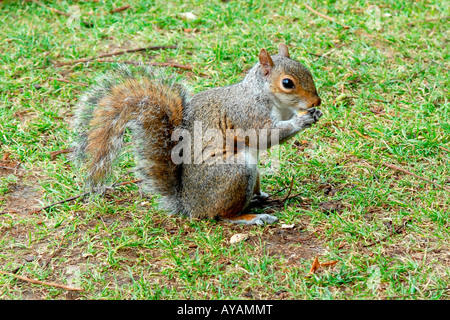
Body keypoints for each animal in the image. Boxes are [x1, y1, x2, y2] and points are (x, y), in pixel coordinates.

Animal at [72, 43, 322, 225]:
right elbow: (265, 135)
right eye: (287, 83)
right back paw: (251, 217)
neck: (268, 97)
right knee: (223, 215)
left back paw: (259, 196)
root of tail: (190, 205)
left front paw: (314, 114)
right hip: (236, 172)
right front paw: (301, 120)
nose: (316, 102)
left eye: (308, 72)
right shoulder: (247, 114)